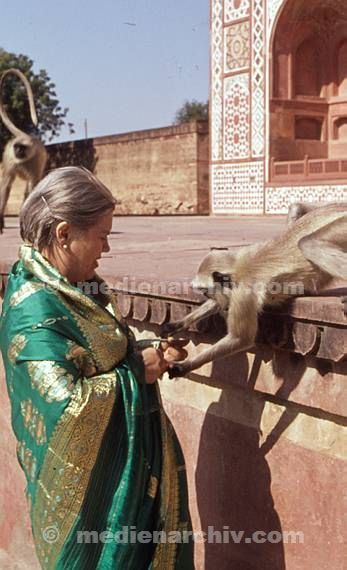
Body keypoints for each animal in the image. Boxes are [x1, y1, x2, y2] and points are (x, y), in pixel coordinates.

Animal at [0, 67, 47, 233]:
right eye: (17, 148)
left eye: (22, 148)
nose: (18, 152)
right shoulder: (11, 159)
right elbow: (6, 186)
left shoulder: (35, 161)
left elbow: (33, 188)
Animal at [163, 202, 347, 374]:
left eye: (207, 292)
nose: (209, 296)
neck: (237, 269)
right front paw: (178, 324)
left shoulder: (244, 291)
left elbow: (240, 339)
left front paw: (184, 366)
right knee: (297, 209)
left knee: (309, 244)